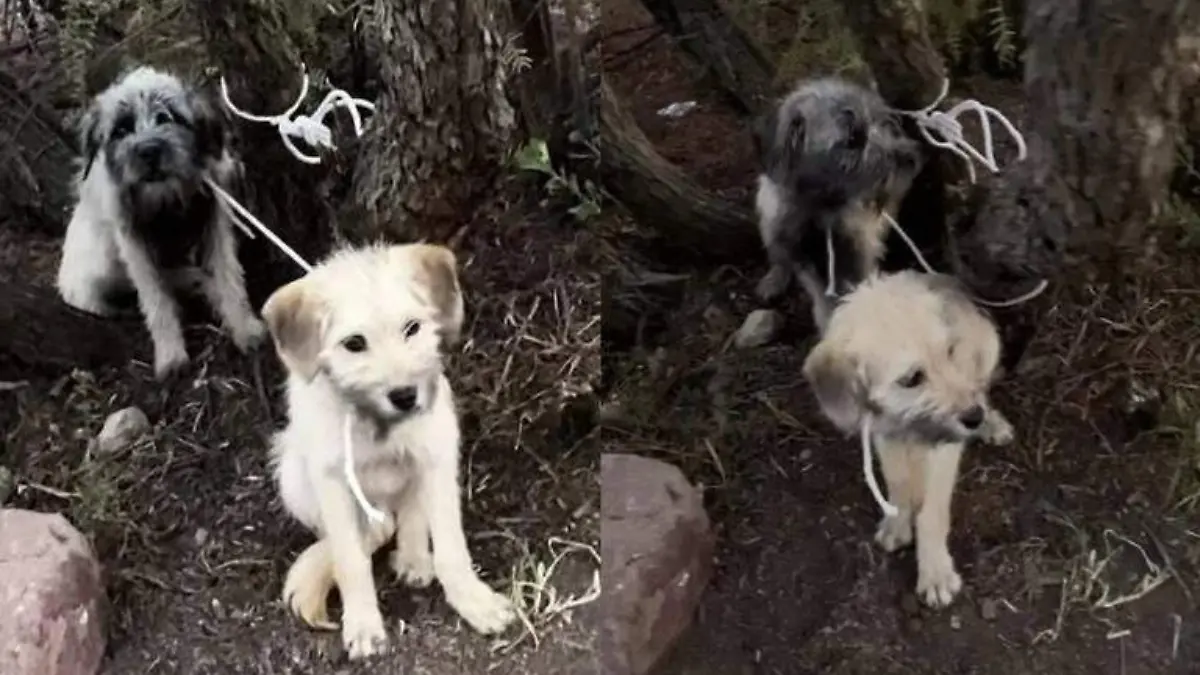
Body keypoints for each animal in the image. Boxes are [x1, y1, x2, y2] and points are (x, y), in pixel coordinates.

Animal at [262, 241, 516, 658]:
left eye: (411, 327)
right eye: (354, 343)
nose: (405, 395)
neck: (375, 420)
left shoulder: (437, 452)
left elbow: (451, 547)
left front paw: (474, 601)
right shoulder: (331, 479)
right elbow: (350, 559)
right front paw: (363, 623)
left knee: (407, 514)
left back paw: (414, 556)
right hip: (292, 474)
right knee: (368, 532)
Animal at [753, 75, 921, 331]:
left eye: (878, 121)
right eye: (852, 139)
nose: (911, 157)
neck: (821, 206)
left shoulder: (858, 255)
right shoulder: (806, 256)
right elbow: (822, 300)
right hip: (769, 222)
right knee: (779, 255)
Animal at [801, 270, 1017, 607]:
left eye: (949, 351)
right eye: (912, 378)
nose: (973, 416)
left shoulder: (944, 448)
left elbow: (932, 511)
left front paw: (935, 572)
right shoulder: (882, 432)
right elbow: (898, 480)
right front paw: (898, 520)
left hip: (986, 346)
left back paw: (991, 423)